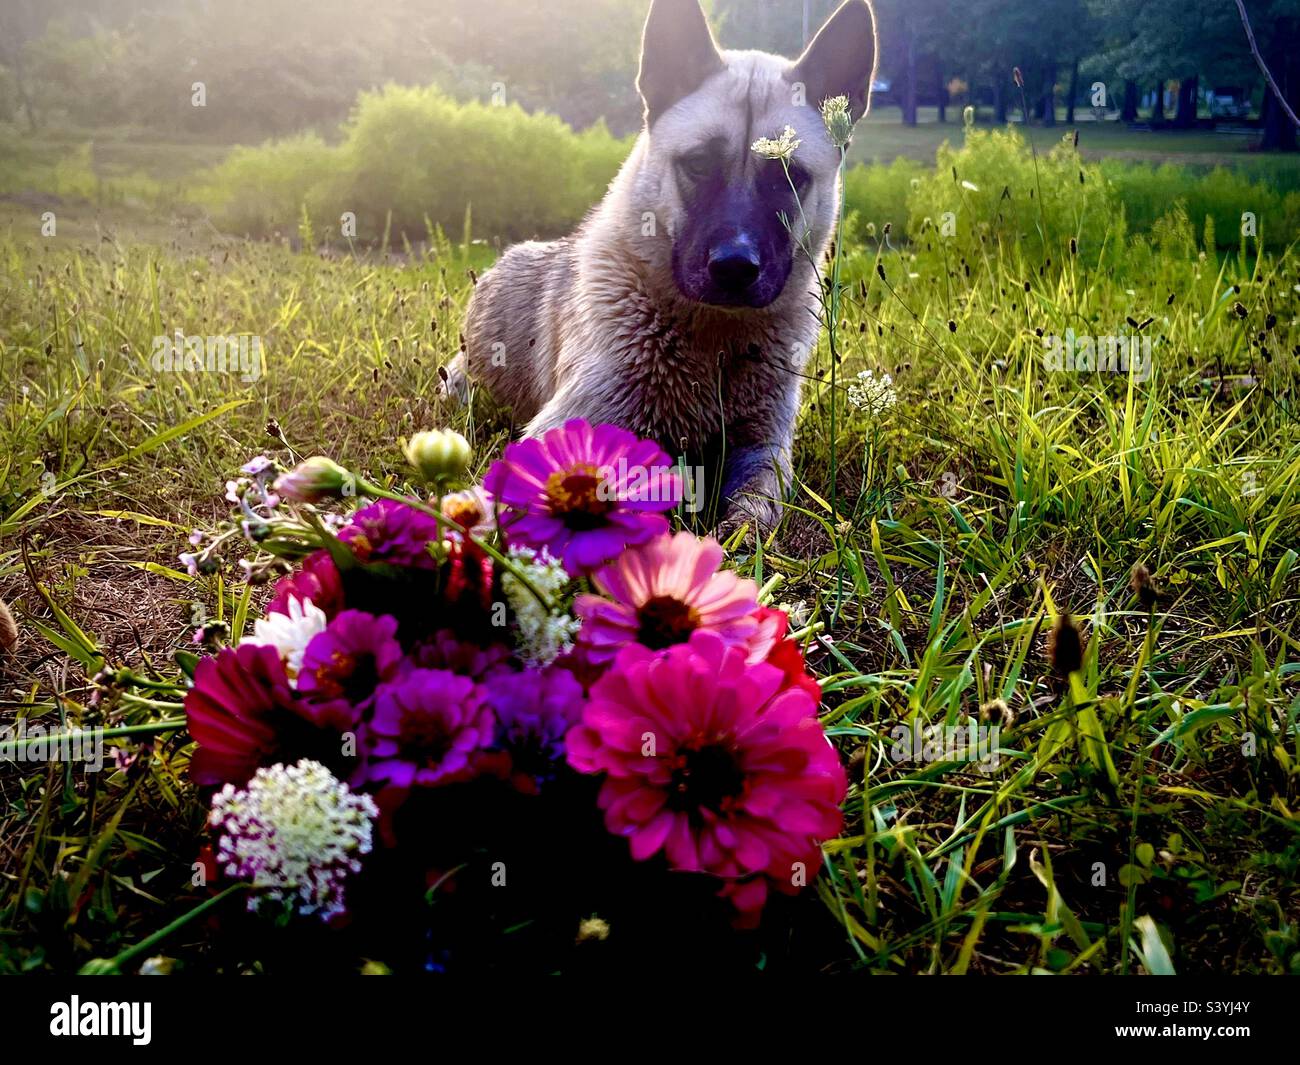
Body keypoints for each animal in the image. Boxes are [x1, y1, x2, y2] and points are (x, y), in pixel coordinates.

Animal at [449, 0, 883, 533]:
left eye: (789, 177)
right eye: (698, 163)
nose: (734, 268)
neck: (715, 339)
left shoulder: (764, 448)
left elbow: (757, 506)